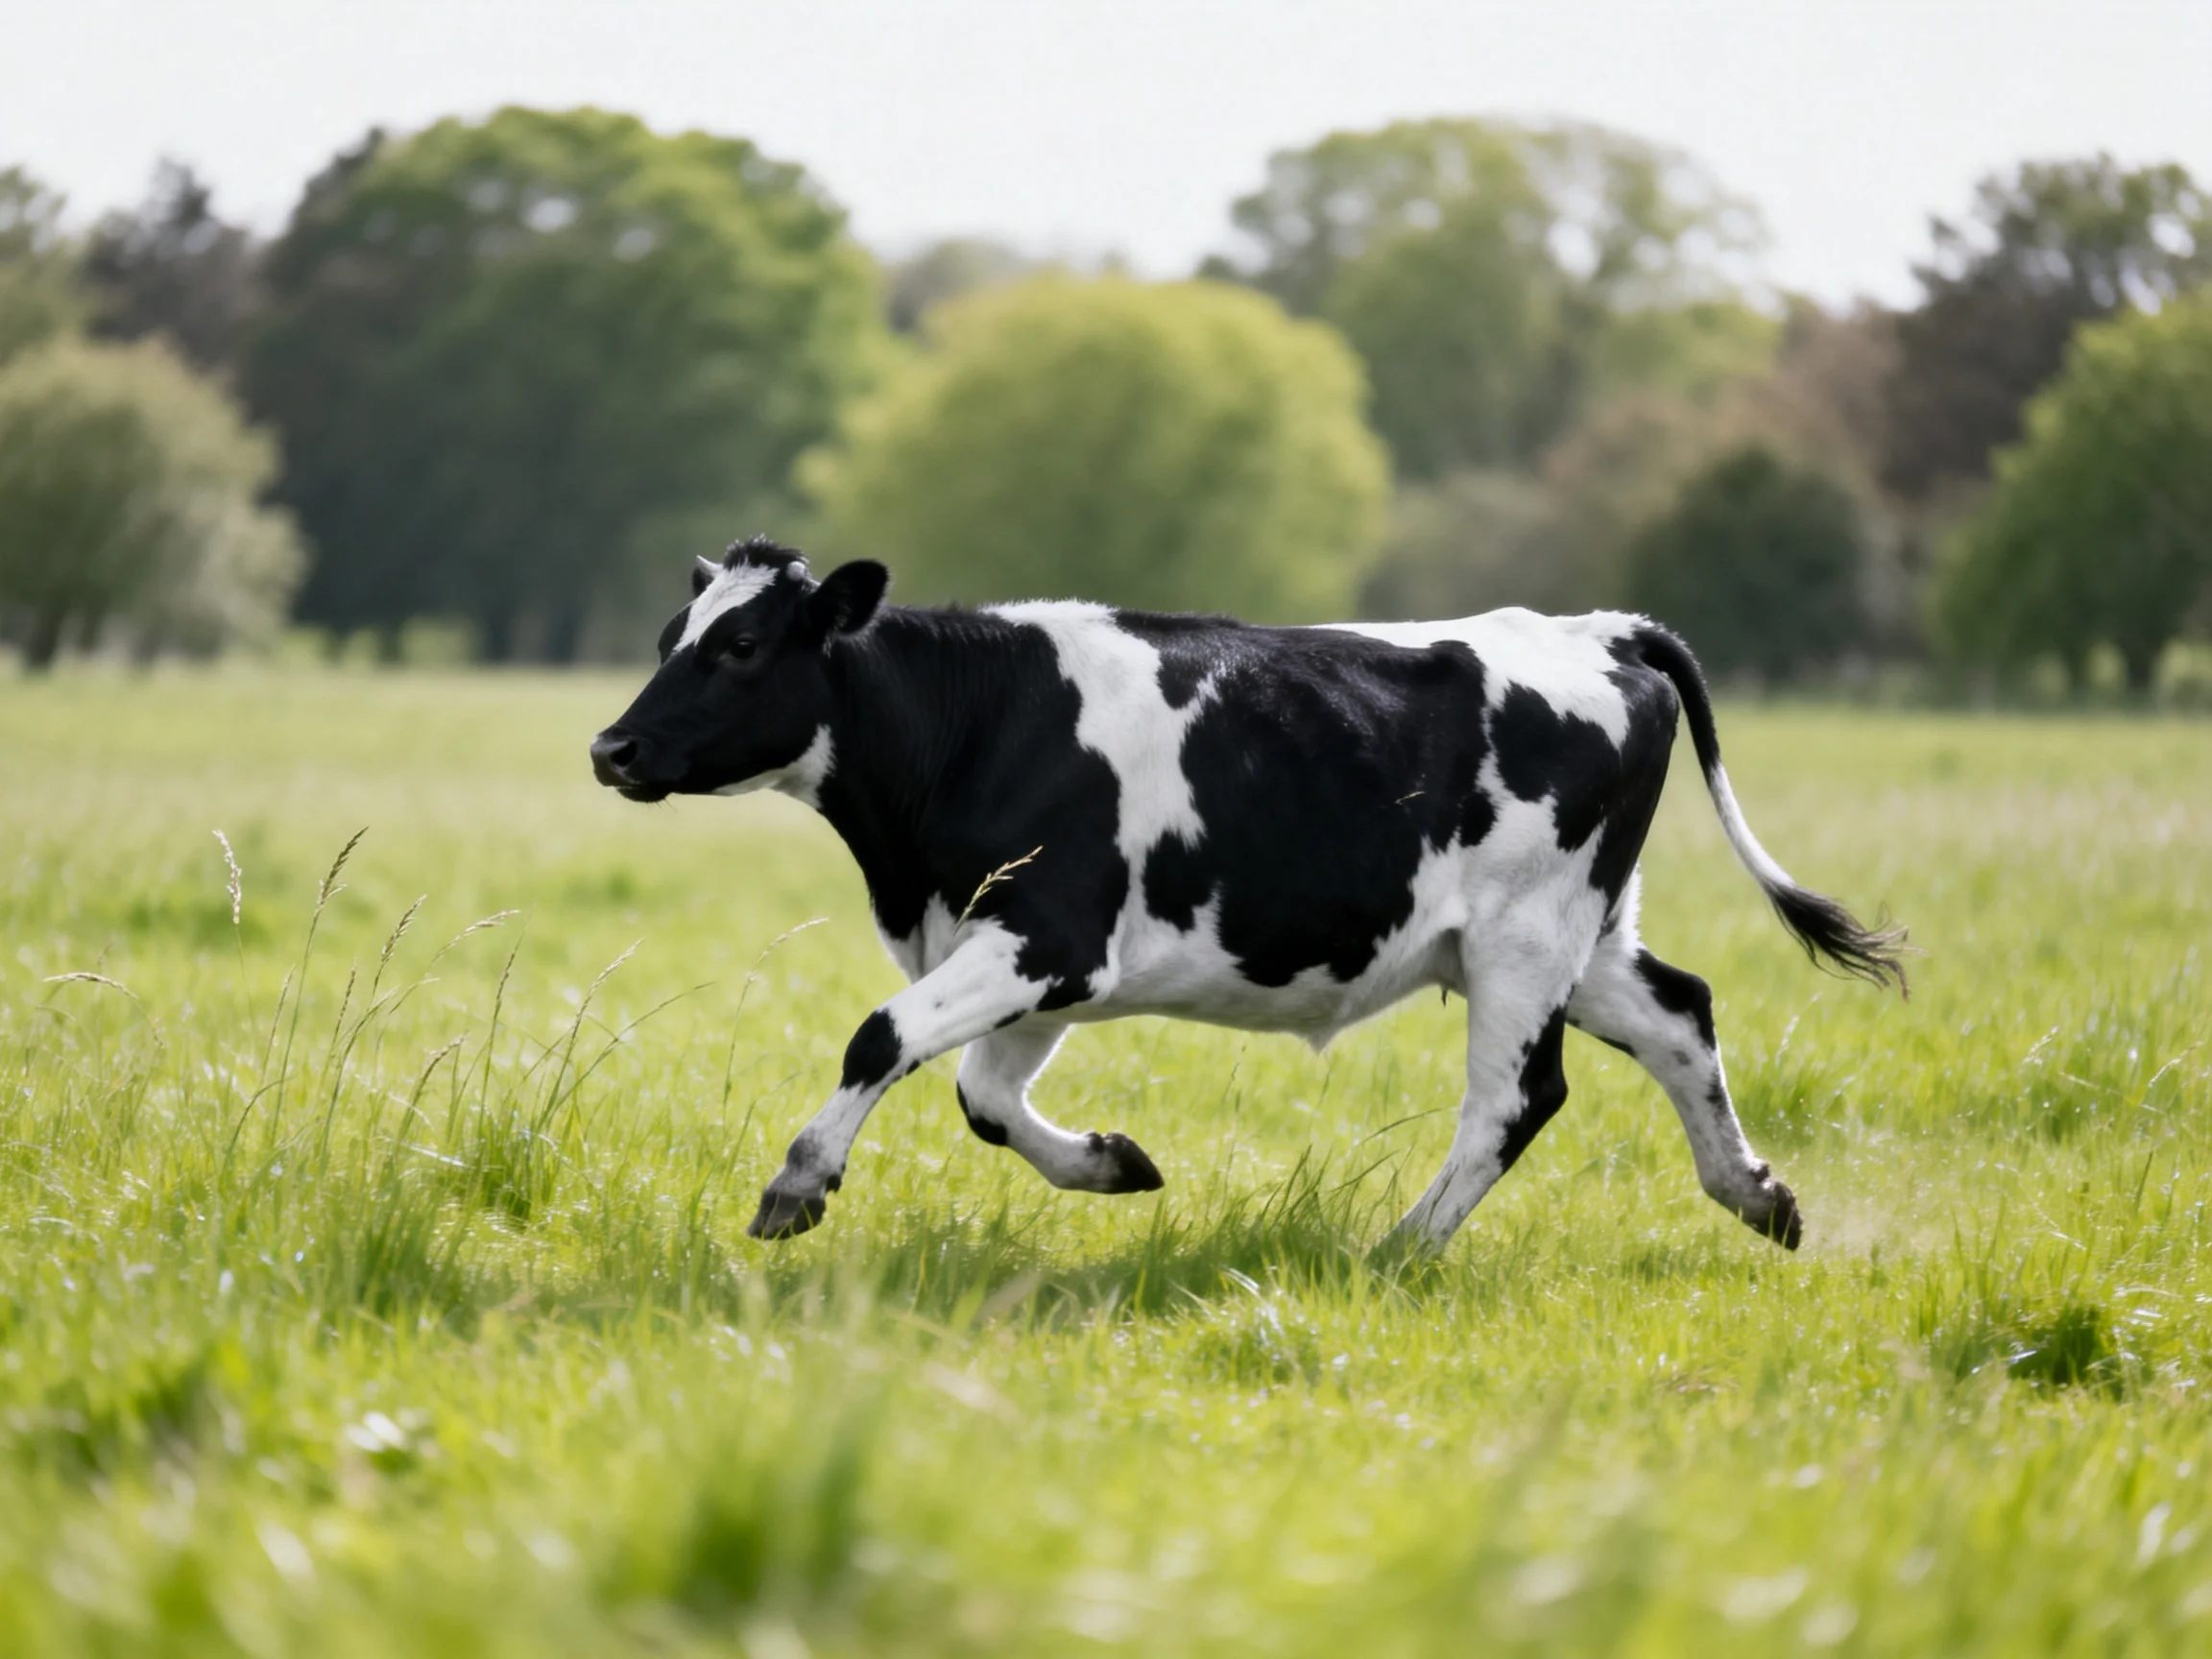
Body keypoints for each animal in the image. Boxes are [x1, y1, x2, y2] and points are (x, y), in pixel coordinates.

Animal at [590, 538, 1905, 1256]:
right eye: (667, 635)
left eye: (741, 647)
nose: (612, 748)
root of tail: (1604, 628)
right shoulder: (1043, 960)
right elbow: (982, 1096)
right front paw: (1112, 1163)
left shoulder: (1049, 935)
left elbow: (883, 1037)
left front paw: (796, 1185)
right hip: (1584, 936)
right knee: (1681, 1013)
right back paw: (1756, 1194)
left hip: (1528, 938)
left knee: (1518, 1098)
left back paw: (1401, 1249)